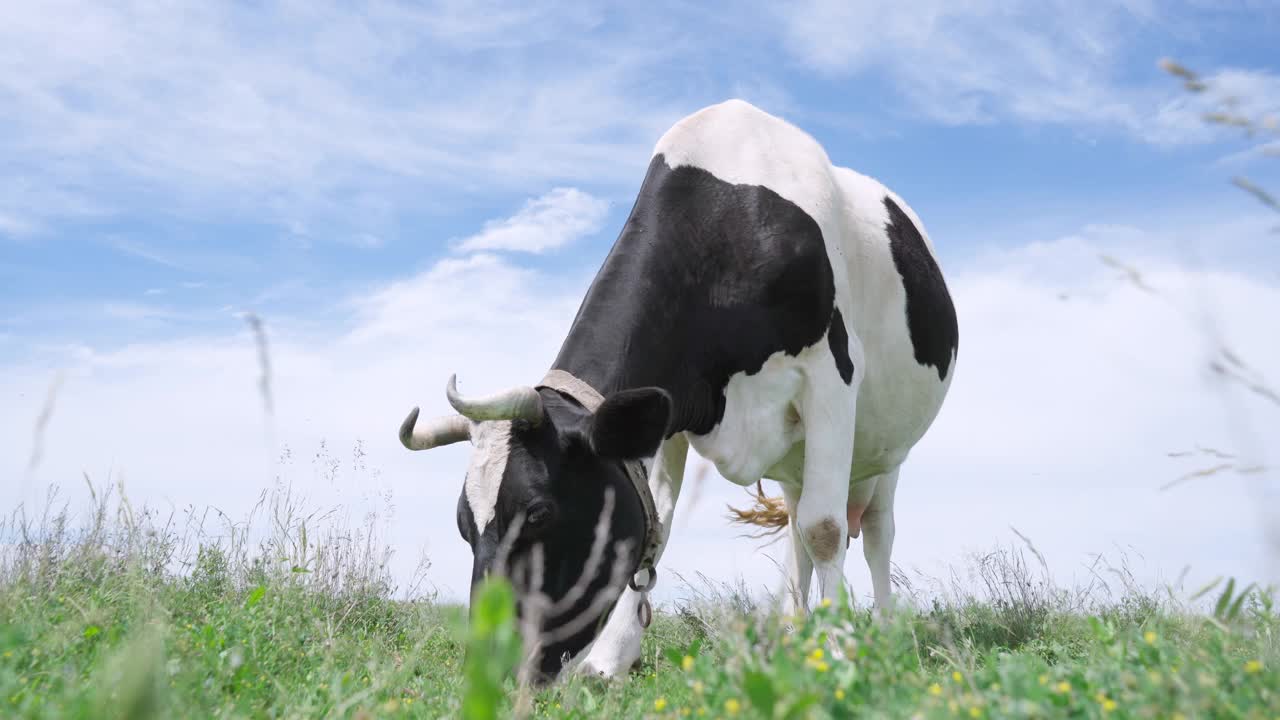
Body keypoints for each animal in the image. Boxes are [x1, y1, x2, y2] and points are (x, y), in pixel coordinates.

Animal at [394, 99, 957, 676]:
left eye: (539, 512)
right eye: (464, 523)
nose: (492, 667)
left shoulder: (831, 377)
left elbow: (826, 530)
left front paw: (844, 653)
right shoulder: (668, 413)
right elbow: (658, 526)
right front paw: (611, 660)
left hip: (884, 451)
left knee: (872, 533)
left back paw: (881, 633)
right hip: (798, 461)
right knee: (798, 531)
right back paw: (795, 633)